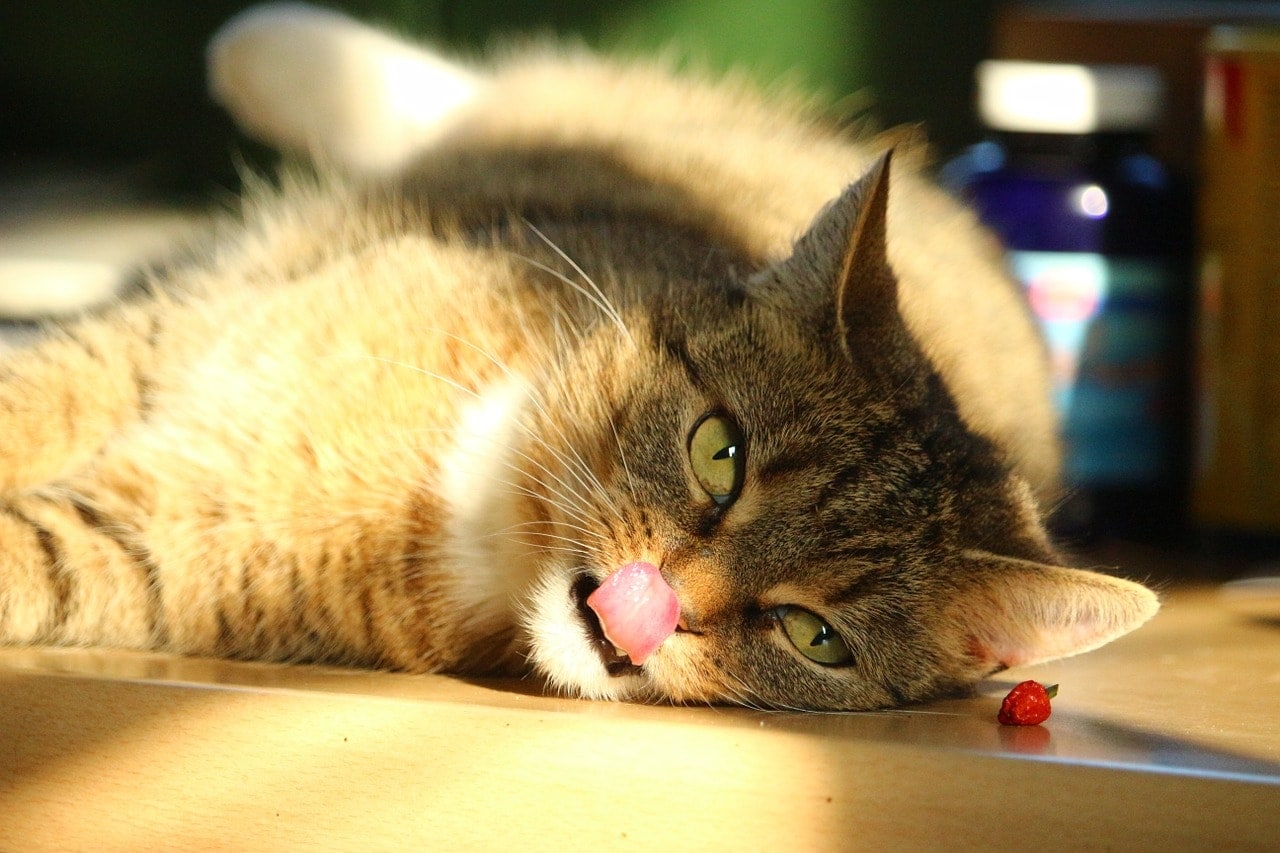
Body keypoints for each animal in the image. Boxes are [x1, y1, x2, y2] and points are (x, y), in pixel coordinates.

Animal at [0, 3, 1162, 706]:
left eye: (812, 636)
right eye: (718, 455)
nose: (657, 611)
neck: (476, 483)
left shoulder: (147, 554)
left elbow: (31, 555)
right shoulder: (164, 335)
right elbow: (30, 393)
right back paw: (267, 48)